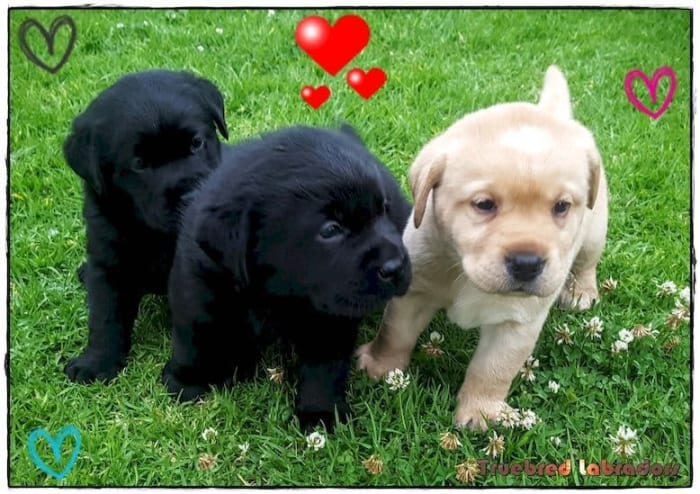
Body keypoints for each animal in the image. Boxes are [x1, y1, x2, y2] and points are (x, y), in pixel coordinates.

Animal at [62, 70, 227, 386]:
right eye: (139, 164)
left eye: (196, 143)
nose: (190, 195)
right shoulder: (108, 262)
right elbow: (104, 317)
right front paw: (96, 363)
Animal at [161, 125, 412, 430]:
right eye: (330, 229)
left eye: (384, 208)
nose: (396, 266)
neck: (276, 296)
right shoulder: (195, 283)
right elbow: (192, 338)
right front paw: (186, 381)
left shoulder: (330, 316)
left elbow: (324, 366)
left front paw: (320, 413)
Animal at [356, 65, 608, 428]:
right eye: (484, 205)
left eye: (561, 206)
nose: (527, 263)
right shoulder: (414, 291)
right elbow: (395, 333)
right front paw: (380, 367)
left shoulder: (517, 323)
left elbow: (493, 370)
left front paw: (480, 412)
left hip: (594, 231)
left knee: (587, 262)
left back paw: (580, 291)